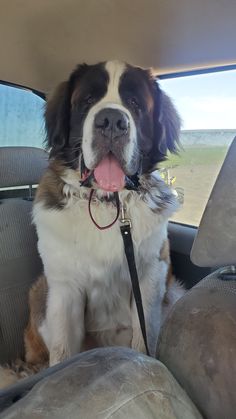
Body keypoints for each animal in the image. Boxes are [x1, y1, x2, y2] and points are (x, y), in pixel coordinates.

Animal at [0, 60, 184, 388]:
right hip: (41, 292)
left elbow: (144, 335)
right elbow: (62, 352)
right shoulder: (64, 287)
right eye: (86, 101)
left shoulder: (152, 275)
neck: (108, 204)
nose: (112, 121)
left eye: (135, 104)